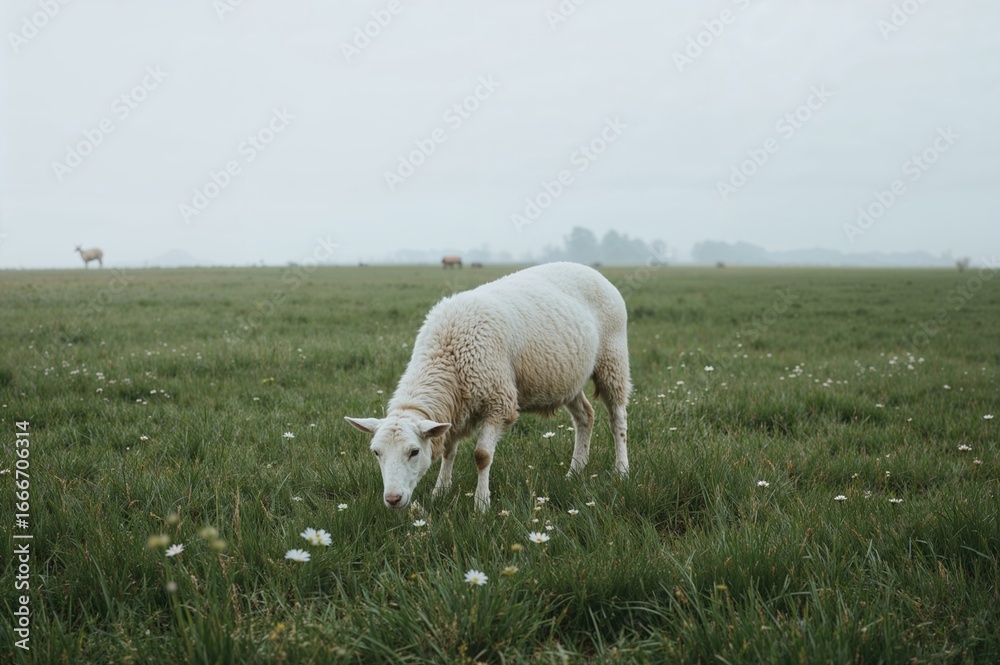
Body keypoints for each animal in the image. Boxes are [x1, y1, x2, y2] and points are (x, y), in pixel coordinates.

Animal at [345, 262, 631, 511]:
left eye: (414, 452)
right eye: (376, 452)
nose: (392, 499)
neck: (447, 354)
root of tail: (589, 269)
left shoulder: (499, 402)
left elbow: (482, 456)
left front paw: (481, 504)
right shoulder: (455, 410)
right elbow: (448, 449)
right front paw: (440, 491)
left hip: (613, 358)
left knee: (617, 418)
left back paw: (622, 470)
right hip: (567, 377)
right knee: (586, 416)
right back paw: (574, 472)